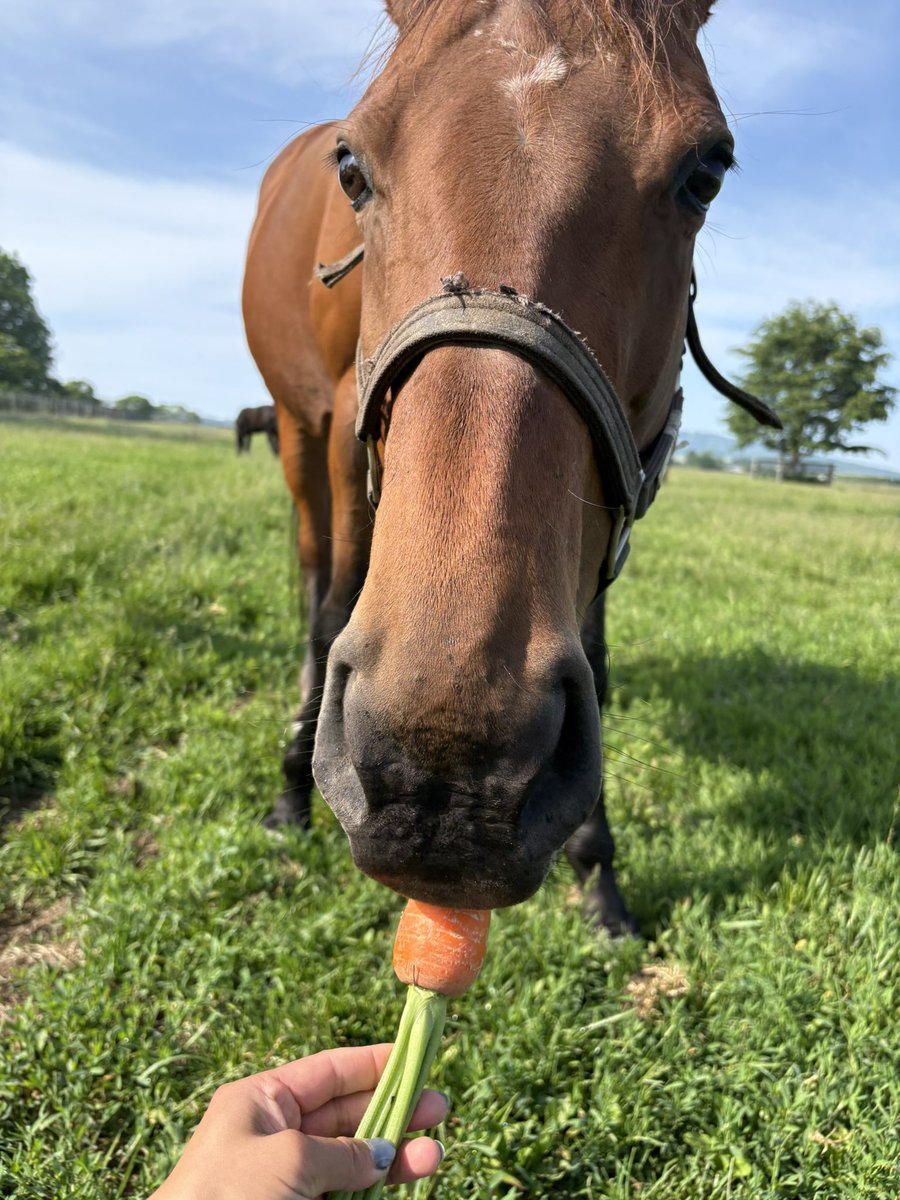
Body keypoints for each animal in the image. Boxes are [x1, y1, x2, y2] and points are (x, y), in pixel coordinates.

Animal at [242, 0, 780, 934]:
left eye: (705, 174)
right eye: (351, 169)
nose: (446, 775)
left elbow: (593, 656)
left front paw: (600, 873)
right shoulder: (346, 433)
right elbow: (336, 600)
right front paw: (290, 792)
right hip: (300, 431)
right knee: (316, 575)